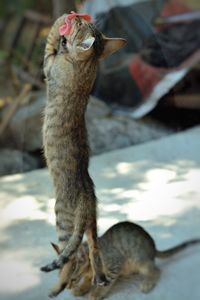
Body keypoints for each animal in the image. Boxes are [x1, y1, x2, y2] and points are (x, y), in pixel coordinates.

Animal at [40, 12, 126, 288]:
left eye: (79, 25)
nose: (77, 16)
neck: (87, 67)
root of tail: (86, 200)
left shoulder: (48, 66)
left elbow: (49, 43)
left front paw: (59, 24)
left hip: (63, 220)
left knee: (71, 255)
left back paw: (60, 283)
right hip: (93, 225)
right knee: (93, 250)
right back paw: (99, 279)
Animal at [48, 221, 200, 298]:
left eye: (72, 280)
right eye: (60, 279)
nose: (68, 287)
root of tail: (153, 248)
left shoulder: (115, 264)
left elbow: (106, 283)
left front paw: (95, 293)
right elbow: (88, 279)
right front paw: (82, 288)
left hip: (139, 259)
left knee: (156, 270)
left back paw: (147, 282)